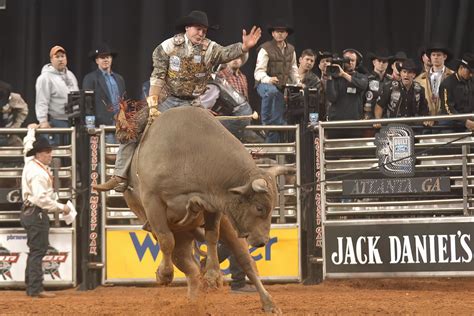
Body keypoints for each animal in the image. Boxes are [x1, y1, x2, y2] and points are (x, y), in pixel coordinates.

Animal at [122, 107, 286, 314]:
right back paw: (192, 303)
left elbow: (212, 236)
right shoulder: (153, 201)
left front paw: (213, 275)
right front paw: (164, 274)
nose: (263, 241)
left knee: (245, 262)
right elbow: (166, 240)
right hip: (181, 237)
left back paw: (269, 304)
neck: (190, 155)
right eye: (259, 207)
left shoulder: (213, 201)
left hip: (223, 226)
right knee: (189, 267)